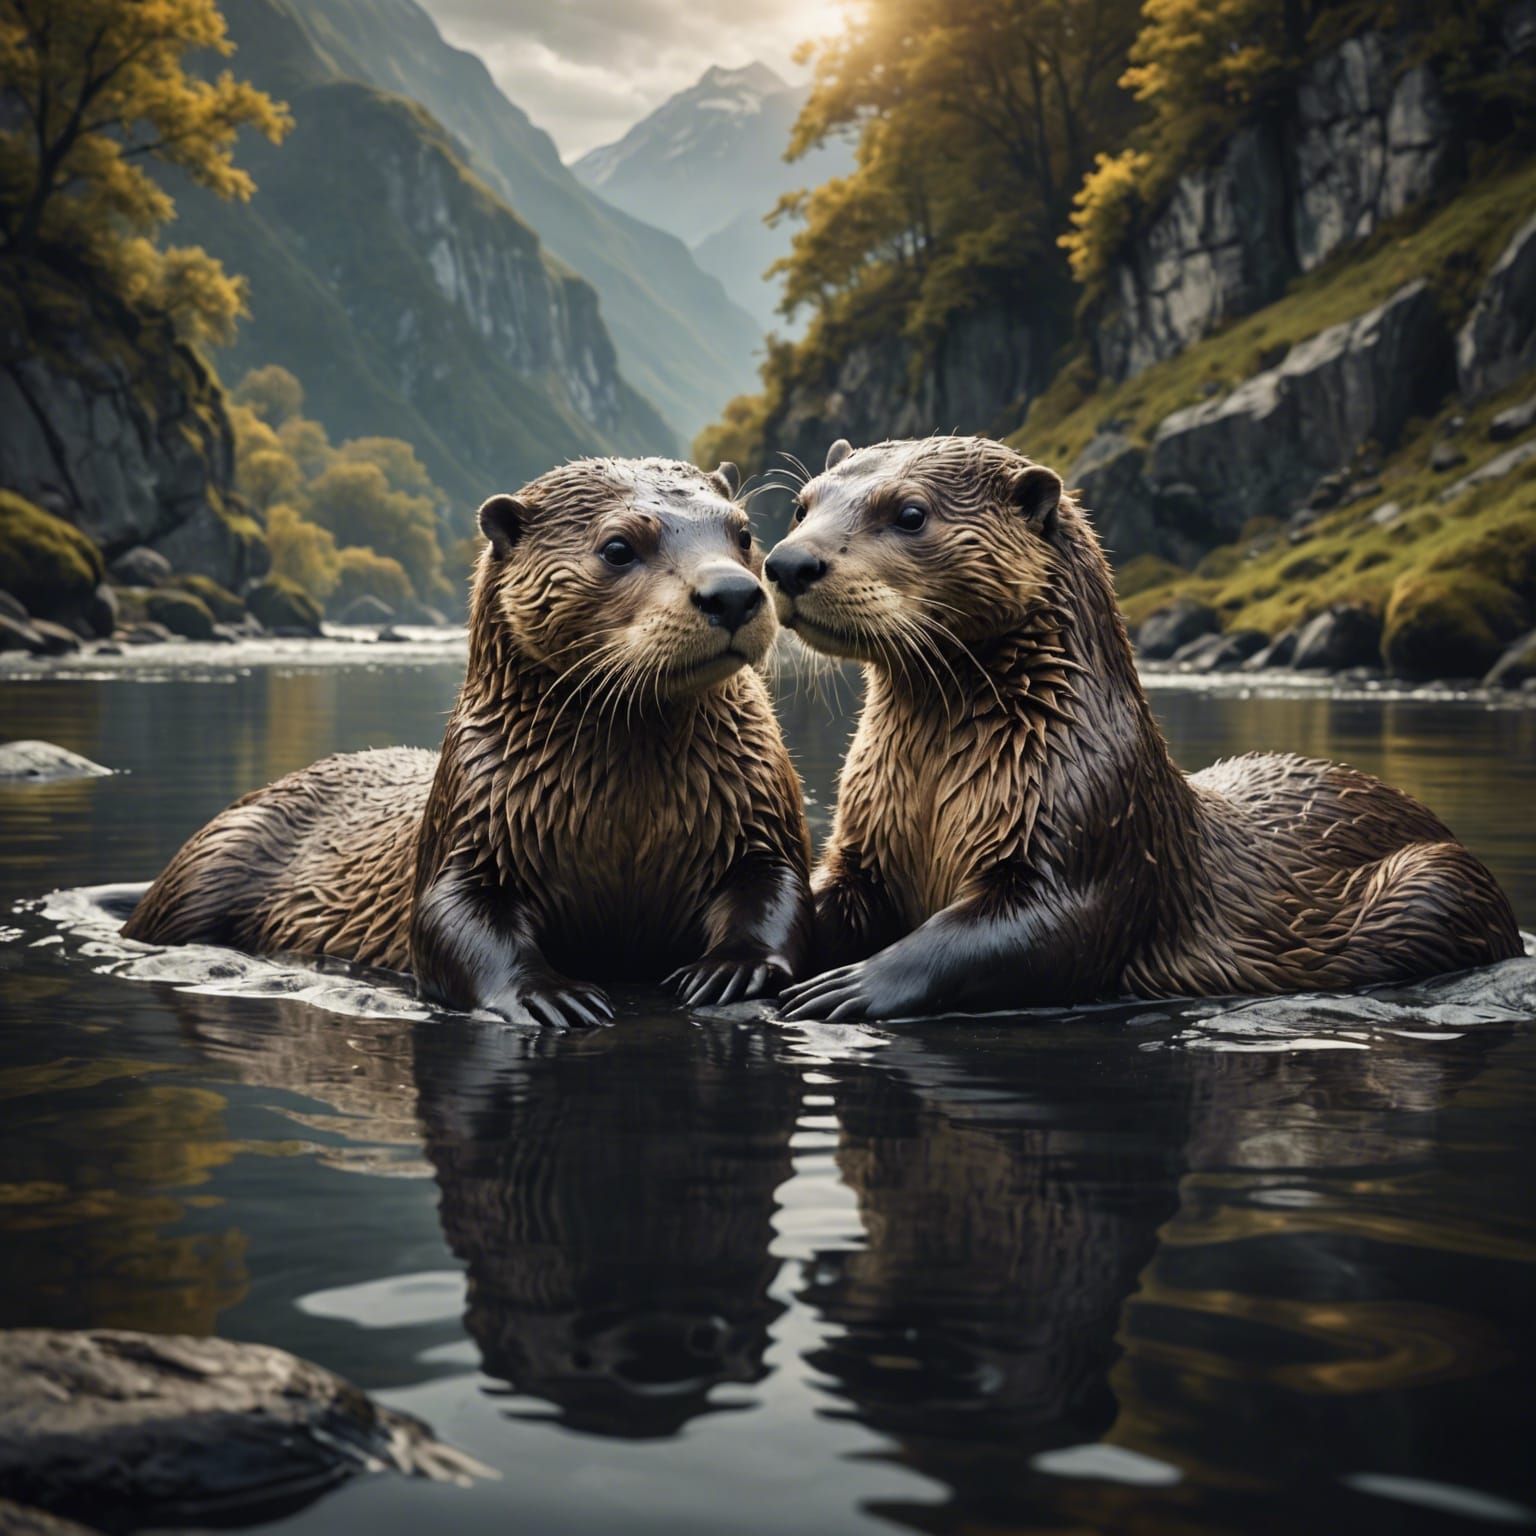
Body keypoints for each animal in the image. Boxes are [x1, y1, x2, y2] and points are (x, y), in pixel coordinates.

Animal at [125, 457, 814, 1026]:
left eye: (743, 533)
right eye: (618, 547)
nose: (733, 593)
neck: (628, 822)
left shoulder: (760, 810)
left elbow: (779, 889)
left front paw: (732, 969)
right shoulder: (470, 822)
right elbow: (449, 922)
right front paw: (548, 994)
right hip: (206, 868)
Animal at [762, 435, 1521, 1021]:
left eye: (911, 513)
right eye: (802, 507)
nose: (788, 562)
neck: (932, 795)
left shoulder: (1094, 828)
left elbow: (1021, 935)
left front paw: (851, 986)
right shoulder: (866, 847)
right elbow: (827, 895)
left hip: (1440, 880)